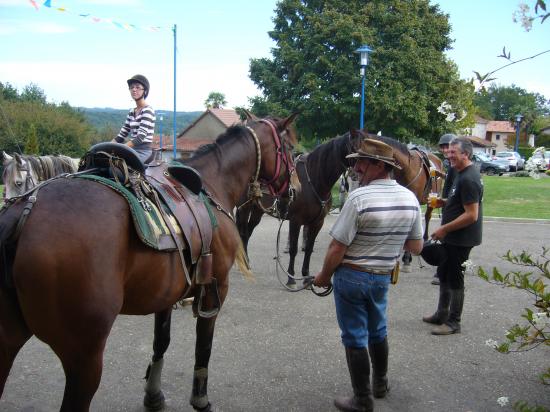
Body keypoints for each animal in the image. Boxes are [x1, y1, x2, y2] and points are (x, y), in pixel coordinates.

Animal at [0, 114, 298, 410]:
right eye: (290, 148)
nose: (295, 189)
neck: (213, 184)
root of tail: (23, 212)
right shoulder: (215, 290)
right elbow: (204, 346)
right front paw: (200, 398)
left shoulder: (166, 295)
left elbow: (161, 342)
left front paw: (153, 394)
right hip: (84, 359)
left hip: (10, 341)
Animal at [237, 130, 366, 284]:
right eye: (355, 149)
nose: (358, 174)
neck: (313, 180)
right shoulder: (295, 221)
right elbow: (293, 249)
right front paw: (291, 279)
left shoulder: (317, 222)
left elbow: (309, 248)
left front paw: (306, 276)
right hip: (244, 208)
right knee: (243, 233)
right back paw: (245, 265)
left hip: (257, 211)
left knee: (249, 231)